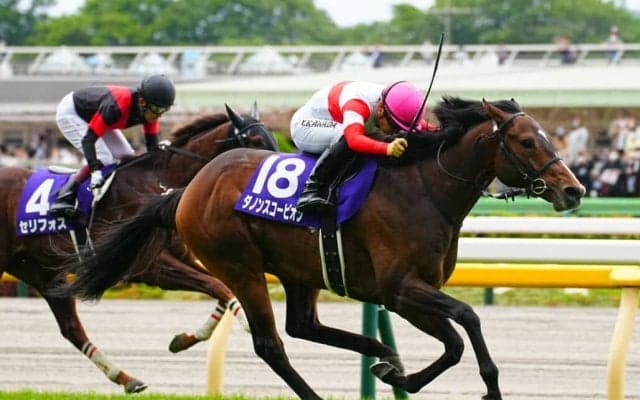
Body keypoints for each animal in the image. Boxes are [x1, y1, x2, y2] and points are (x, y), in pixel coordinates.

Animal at [0, 104, 276, 393]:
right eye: (255, 140)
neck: (160, 181)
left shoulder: (182, 256)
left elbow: (220, 289)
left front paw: (185, 339)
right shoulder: (148, 267)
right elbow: (218, 287)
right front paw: (248, 325)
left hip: (43, 273)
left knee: (71, 328)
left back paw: (125, 377)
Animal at [58, 97, 585, 399]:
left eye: (546, 136)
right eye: (526, 141)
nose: (574, 189)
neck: (425, 188)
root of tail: (187, 189)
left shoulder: (407, 294)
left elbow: (454, 342)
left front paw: (398, 375)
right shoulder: (400, 288)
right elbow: (468, 321)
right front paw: (479, 386)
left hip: (300, 269)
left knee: (303, 325)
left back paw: (378, 353)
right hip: (239, 266)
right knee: (272, 344)